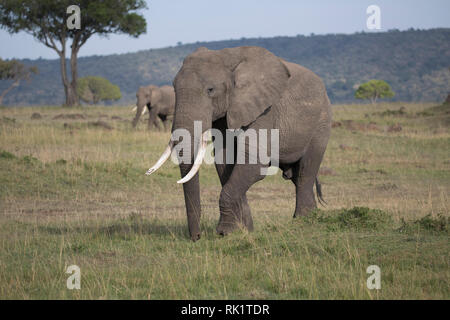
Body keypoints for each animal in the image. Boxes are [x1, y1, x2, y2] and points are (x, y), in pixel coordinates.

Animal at [146, 46, 332, 241]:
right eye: (174, 89)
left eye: (210, 90)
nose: (197, 237)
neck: (227, 57)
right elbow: (226, 162)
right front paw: (243, 230)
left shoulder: (264, 110)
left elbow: (253, 163)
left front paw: (224, 232)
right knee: (296, 176)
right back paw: (311, 216)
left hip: (321, 124)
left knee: (305, 172)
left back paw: (303, 221)